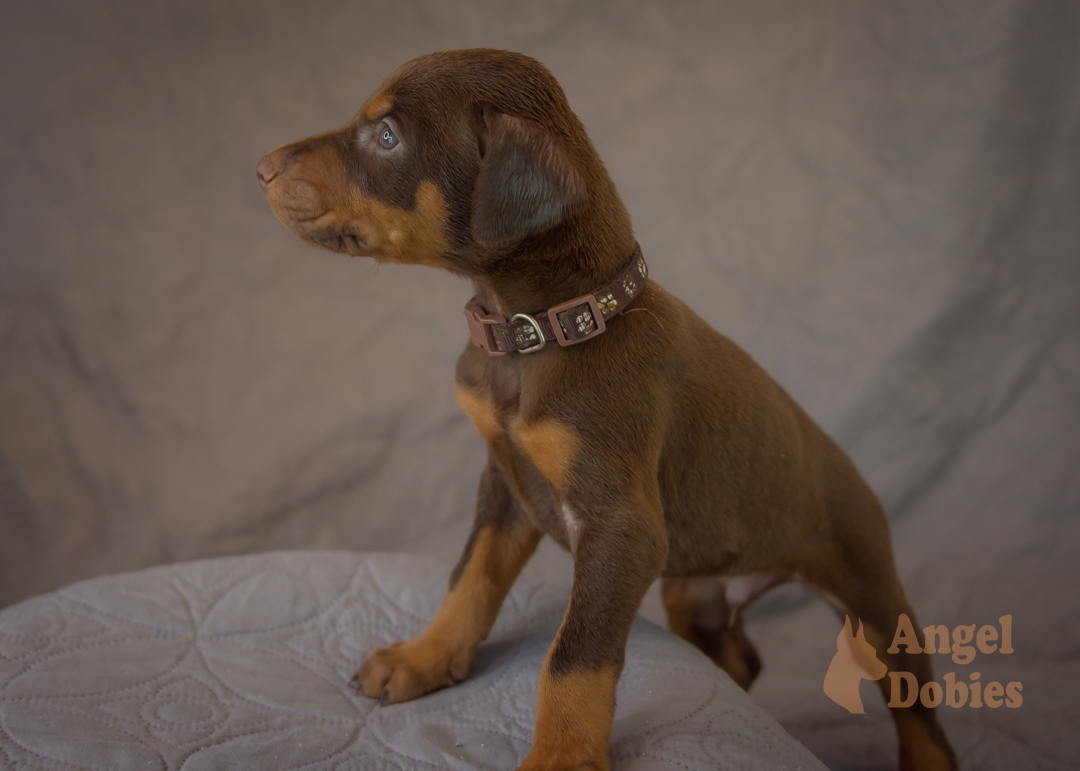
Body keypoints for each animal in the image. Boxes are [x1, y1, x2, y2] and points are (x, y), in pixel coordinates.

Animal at [257, 48, 959, 768]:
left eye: (388, 136)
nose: (263, 166)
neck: (544, 331)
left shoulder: (620, 530)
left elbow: (574, 653)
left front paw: (560, 756)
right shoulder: (505, 485)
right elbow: (469, 578)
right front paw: (422, 658)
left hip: (871, 597)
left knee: (915, 699)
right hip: (695, 592)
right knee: (742, 656)